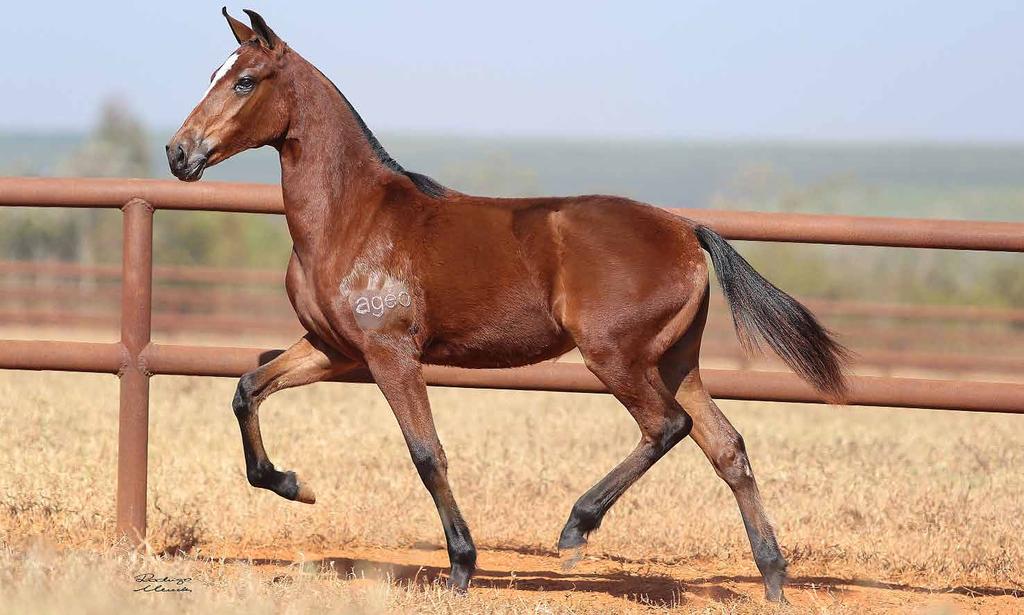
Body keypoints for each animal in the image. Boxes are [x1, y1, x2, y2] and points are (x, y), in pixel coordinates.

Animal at [167, 9, 847, 601]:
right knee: (727, 447)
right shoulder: (335, 350)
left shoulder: (390, 354)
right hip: (677, 361)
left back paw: (575, 529)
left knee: (667, 427)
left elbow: (427, 454)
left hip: (616, 357)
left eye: (244, 81)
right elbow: (248, 388)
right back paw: (773, 578)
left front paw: (462, 567)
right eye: (213, 75)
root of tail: (686, 229)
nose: (179, 153)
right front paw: (294, 486)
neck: (352, 219)